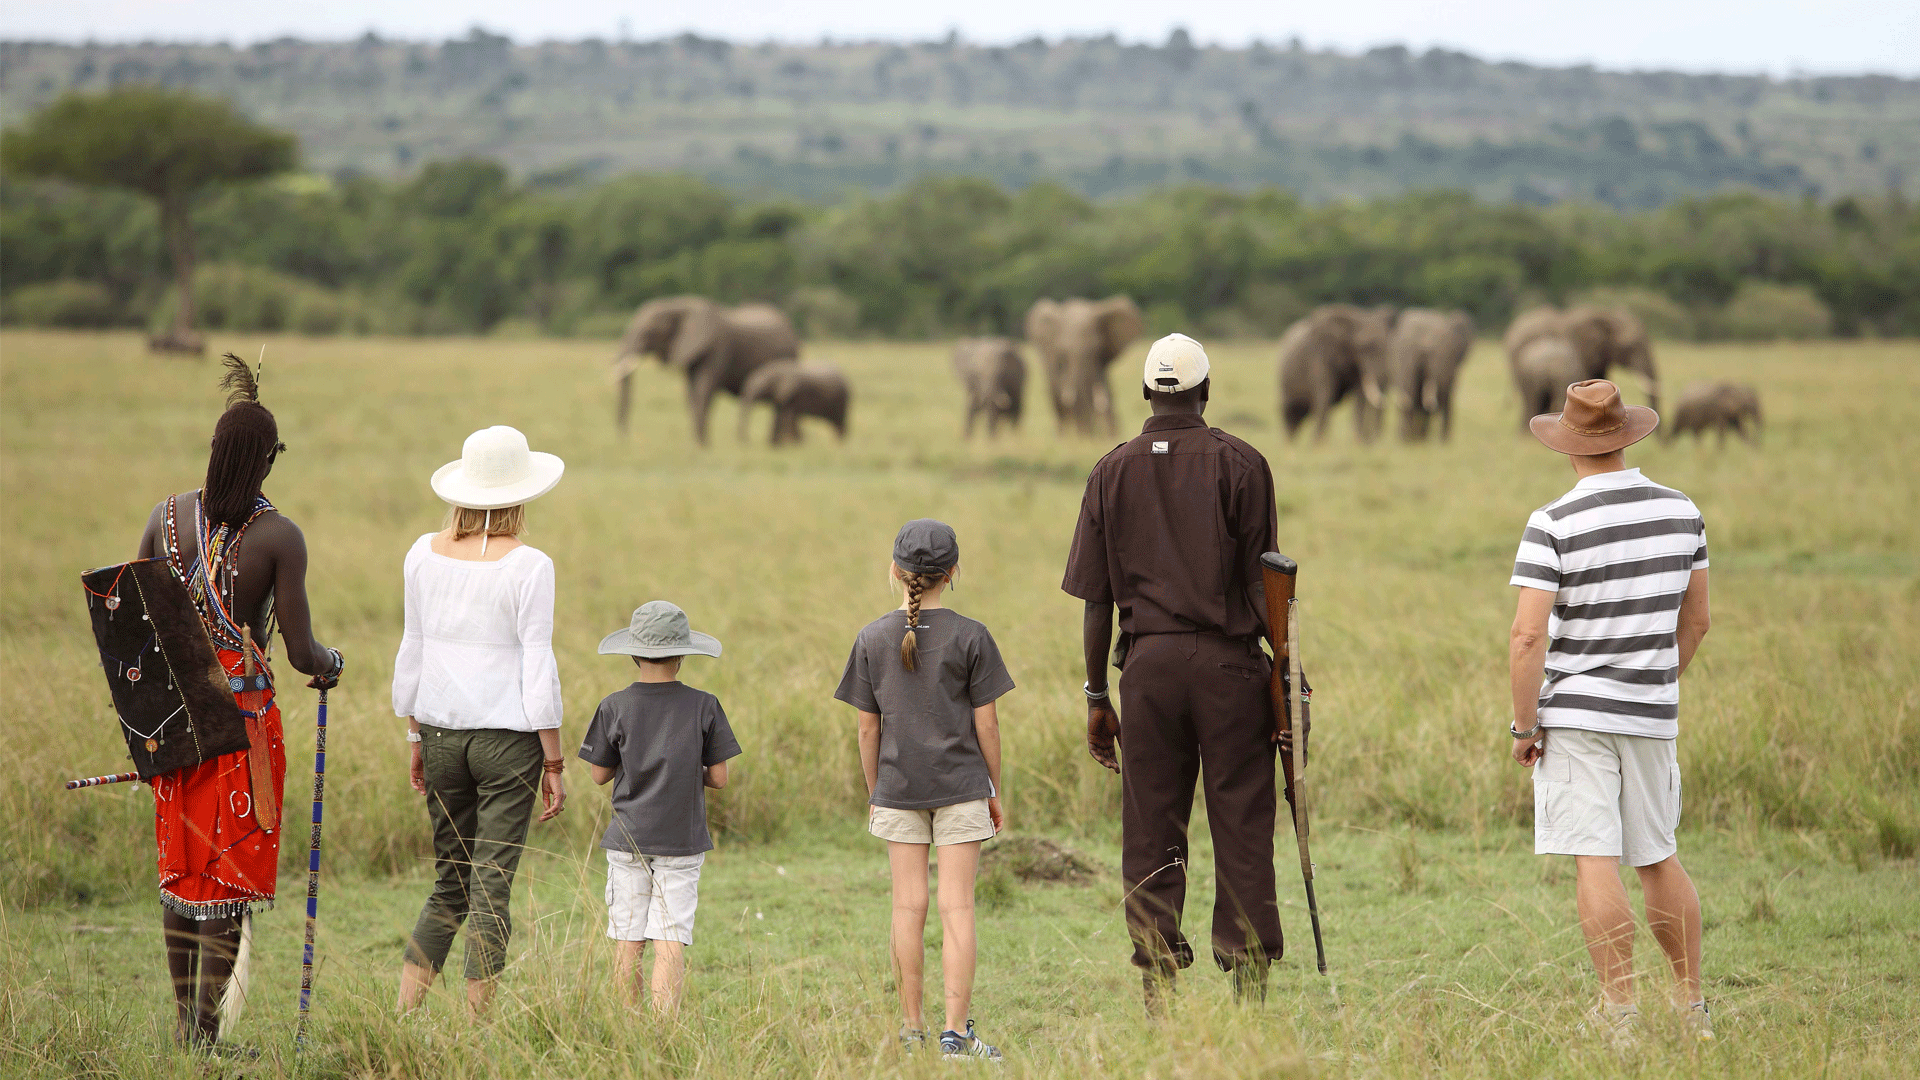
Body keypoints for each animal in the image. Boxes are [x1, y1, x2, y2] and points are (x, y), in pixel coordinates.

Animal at [610, 294, 798, 441]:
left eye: (649, 332)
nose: (625, 439)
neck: (679, 304)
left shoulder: (718, 350)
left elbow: (703, 391)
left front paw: (703, 446)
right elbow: (691, 395)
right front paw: (696, 446)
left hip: (789, 357)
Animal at [1274, 299, 1397, 440]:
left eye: (1388, 347)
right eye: (1365, 348)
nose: (1372, 441)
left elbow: (1360, 396)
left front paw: (1358, 441)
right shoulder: (1320, 355)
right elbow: (1326, 394)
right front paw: (1318, 443)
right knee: (1289, 415)